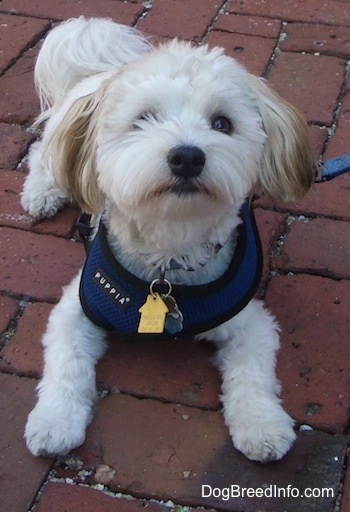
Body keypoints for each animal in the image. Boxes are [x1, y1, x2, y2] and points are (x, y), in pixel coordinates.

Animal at [21, 18, 318, 462]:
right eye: (143, 119)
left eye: (222, 123)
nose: (188, 156)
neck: (168, 259)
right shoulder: (75, 308)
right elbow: (66, 363)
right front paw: (55, 420)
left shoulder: (251, 322)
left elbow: (253, 373)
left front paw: (262, 424)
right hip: (59, 147)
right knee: (43, 153)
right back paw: (40, 193)